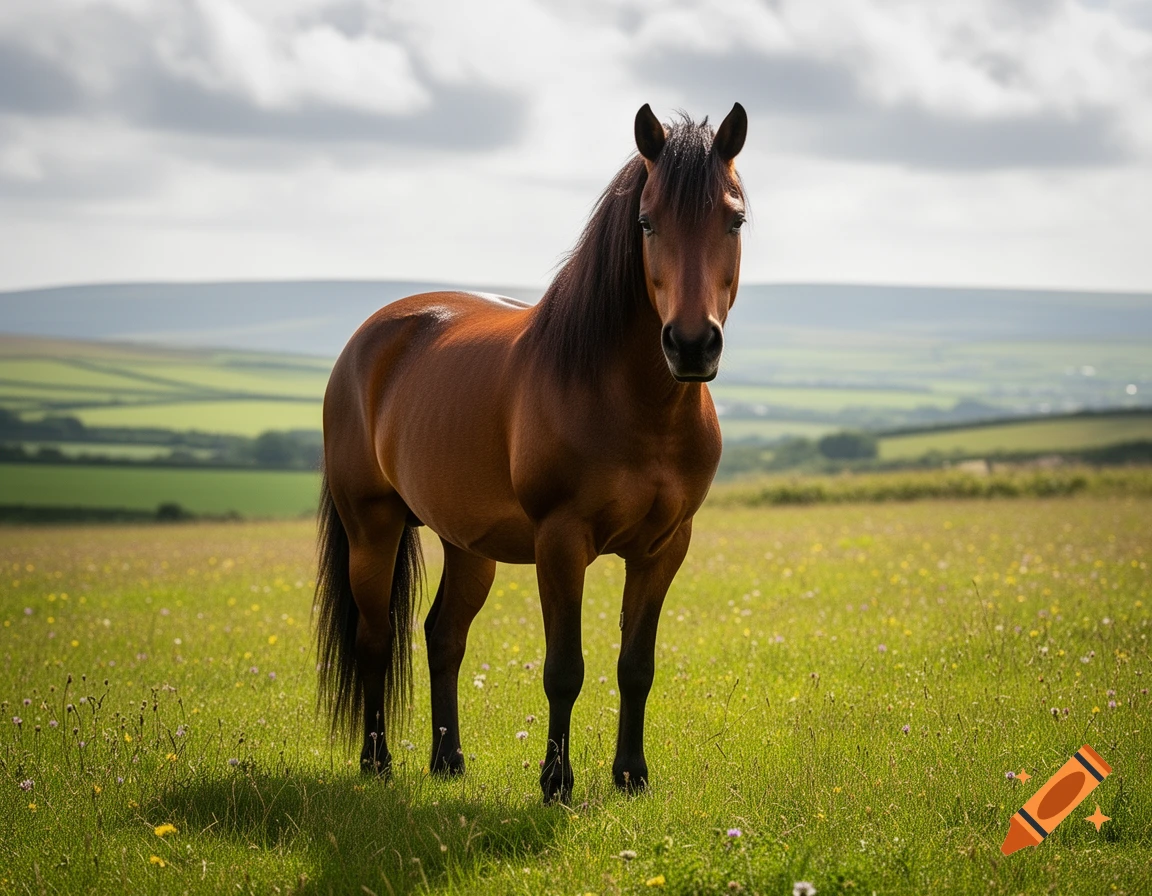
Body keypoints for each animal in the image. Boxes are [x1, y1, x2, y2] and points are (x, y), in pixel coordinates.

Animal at [315, 102, 748, 803]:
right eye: (647, 222)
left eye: (734, 219)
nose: (690, 345)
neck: (636, 404)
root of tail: (368, 339)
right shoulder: (560, 541)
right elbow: (564, 668)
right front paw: (556, 783)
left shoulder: (664, 548)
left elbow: (636, 665)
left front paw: (631, 775)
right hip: (372, 529)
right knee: (375, 639)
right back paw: (376, 762)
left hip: (467, 544)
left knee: (444, 636)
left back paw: (448, 760)